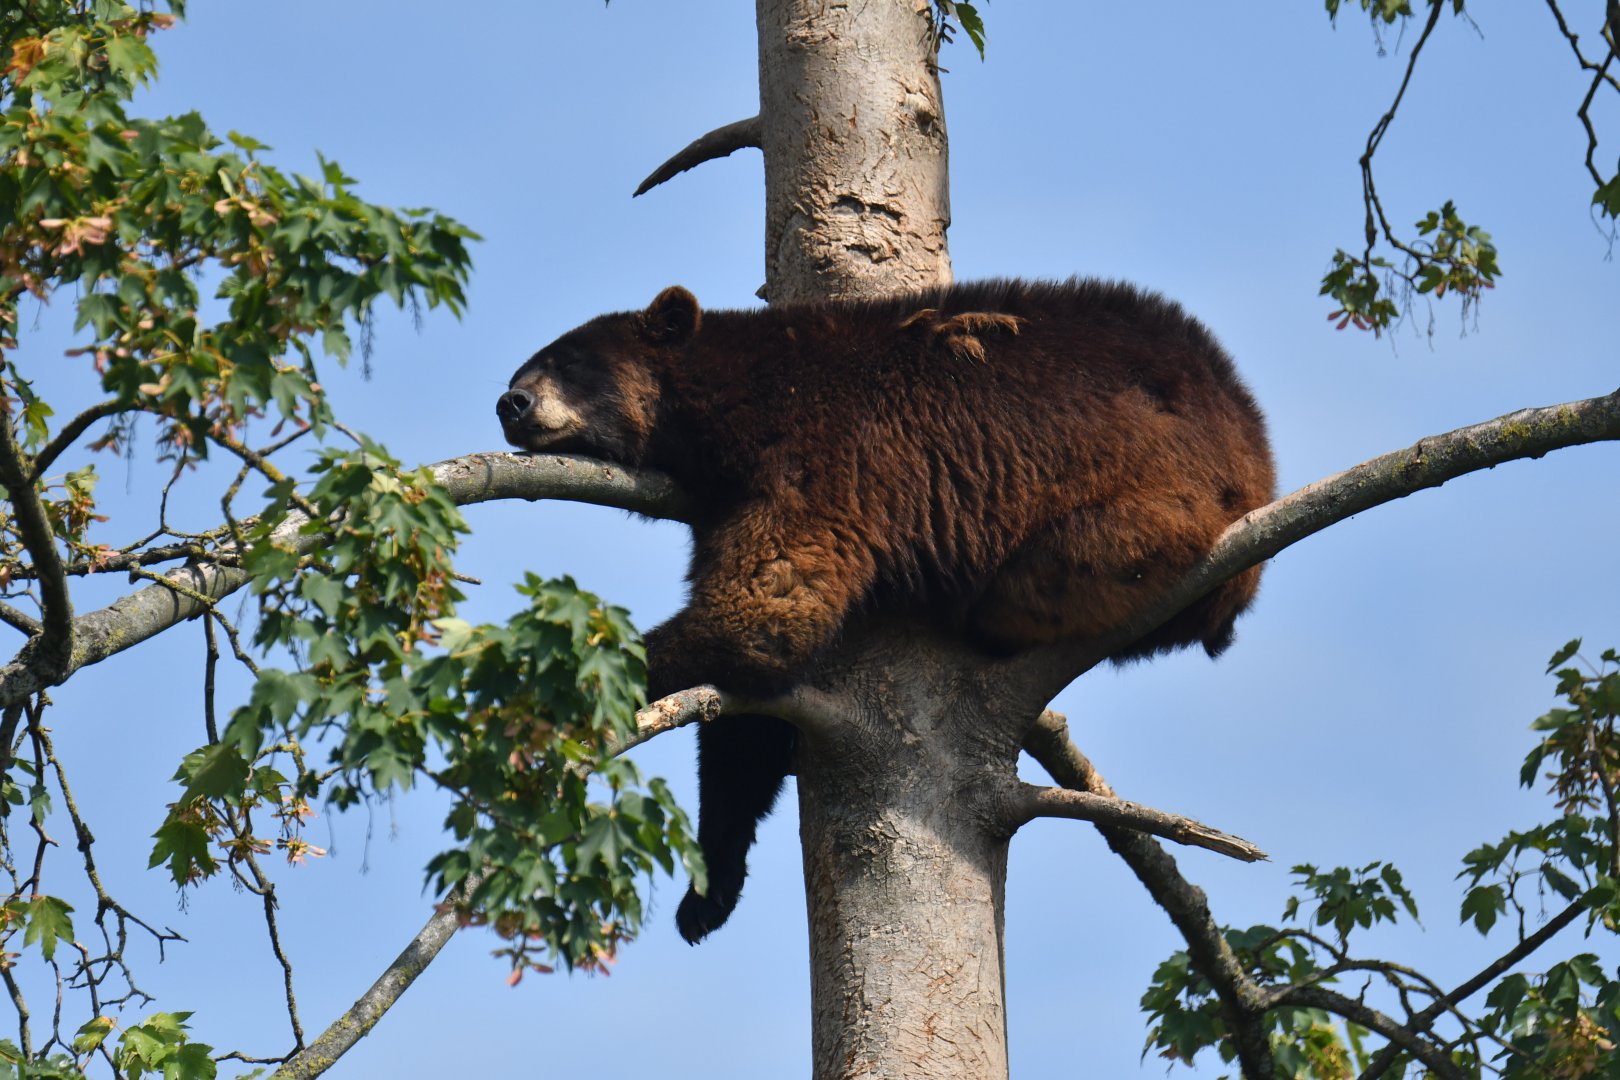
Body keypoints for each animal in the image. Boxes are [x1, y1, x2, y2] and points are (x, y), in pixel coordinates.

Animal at [497, 278, 1275, 945]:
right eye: (525, 367)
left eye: (568, 362)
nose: (511, 404)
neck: (730, 404)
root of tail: (1256, 443)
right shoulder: (722, 508)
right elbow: (747, 708)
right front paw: (709, 890)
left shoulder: (820, 455)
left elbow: (762, 613)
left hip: (1142, 509)